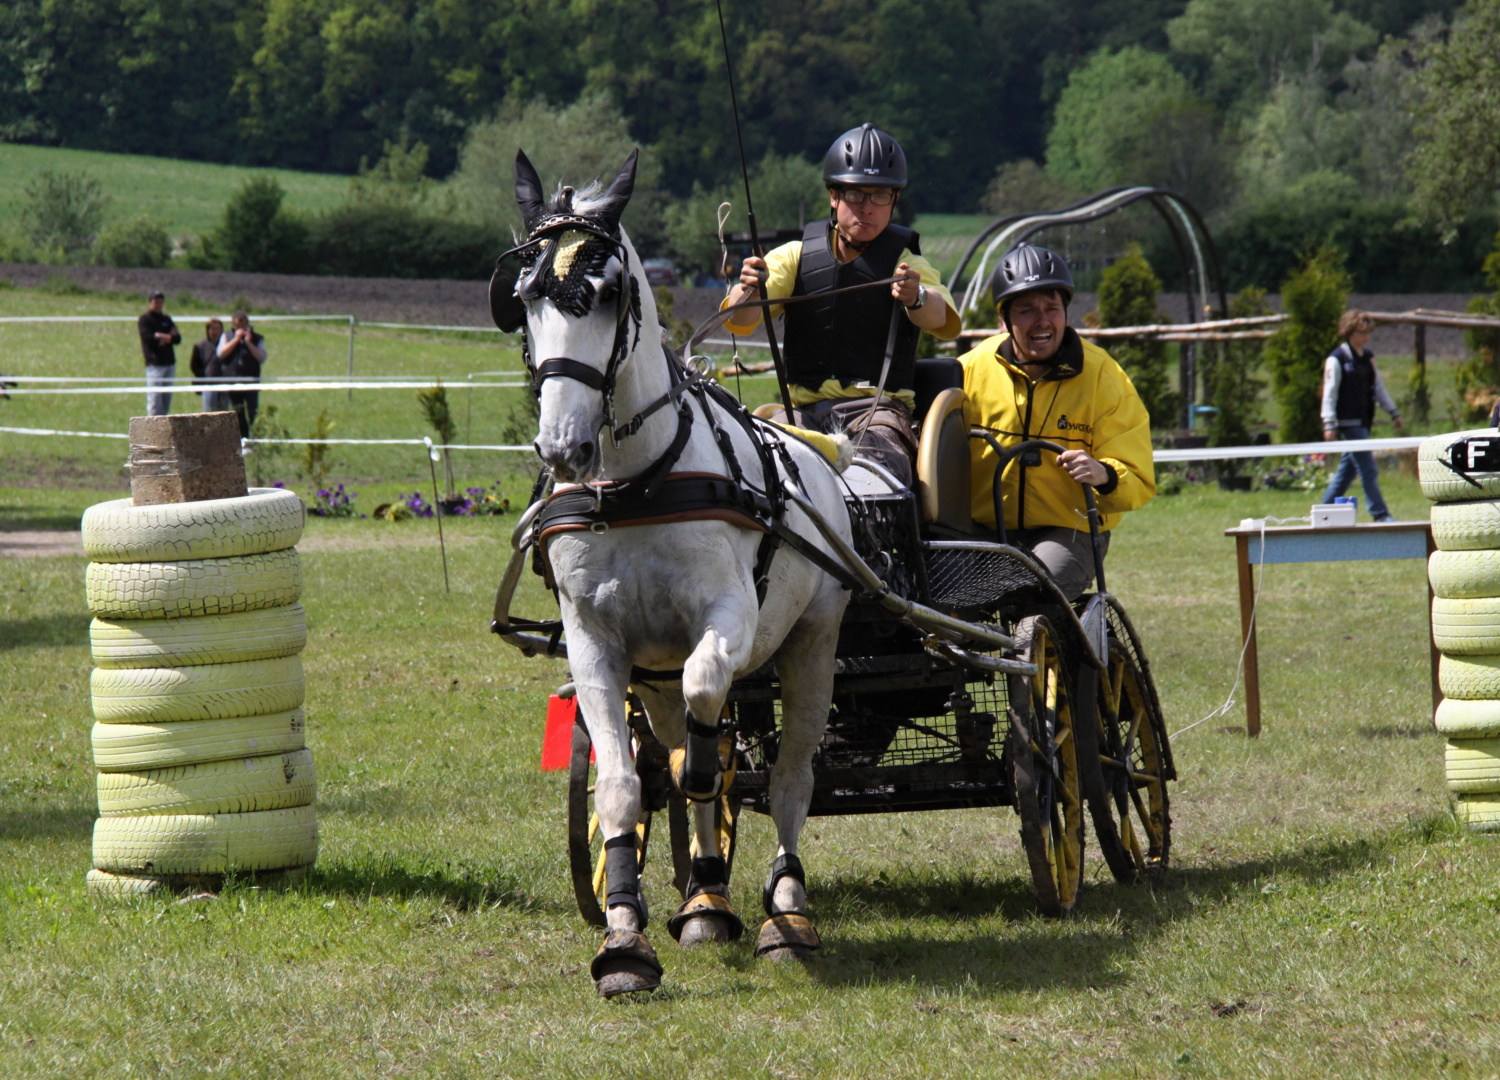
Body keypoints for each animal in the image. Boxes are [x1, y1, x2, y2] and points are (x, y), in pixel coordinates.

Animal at [498, 147, 858, 1002]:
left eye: (607, 292)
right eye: (523, 296)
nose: (563, 448)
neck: (635, 483)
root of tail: (821, 454)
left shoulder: (727, 620)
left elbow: (708, 726)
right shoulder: (597, 643)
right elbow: (628, 786)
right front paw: (624, 935)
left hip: (814, 642)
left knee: (789, 775)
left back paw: (785, 911)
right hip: (652, 678)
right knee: (674, 757)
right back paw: (704, 898)